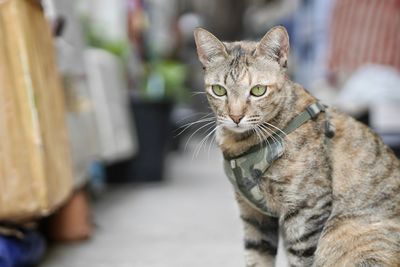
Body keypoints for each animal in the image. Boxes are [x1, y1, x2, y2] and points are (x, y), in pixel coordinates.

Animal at [194, 25, 400, 267]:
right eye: (219, 90)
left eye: (258, 90)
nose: (235, 117)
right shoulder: (253, 214)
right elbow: (256, 256)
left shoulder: (307, 210)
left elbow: (302, 258)